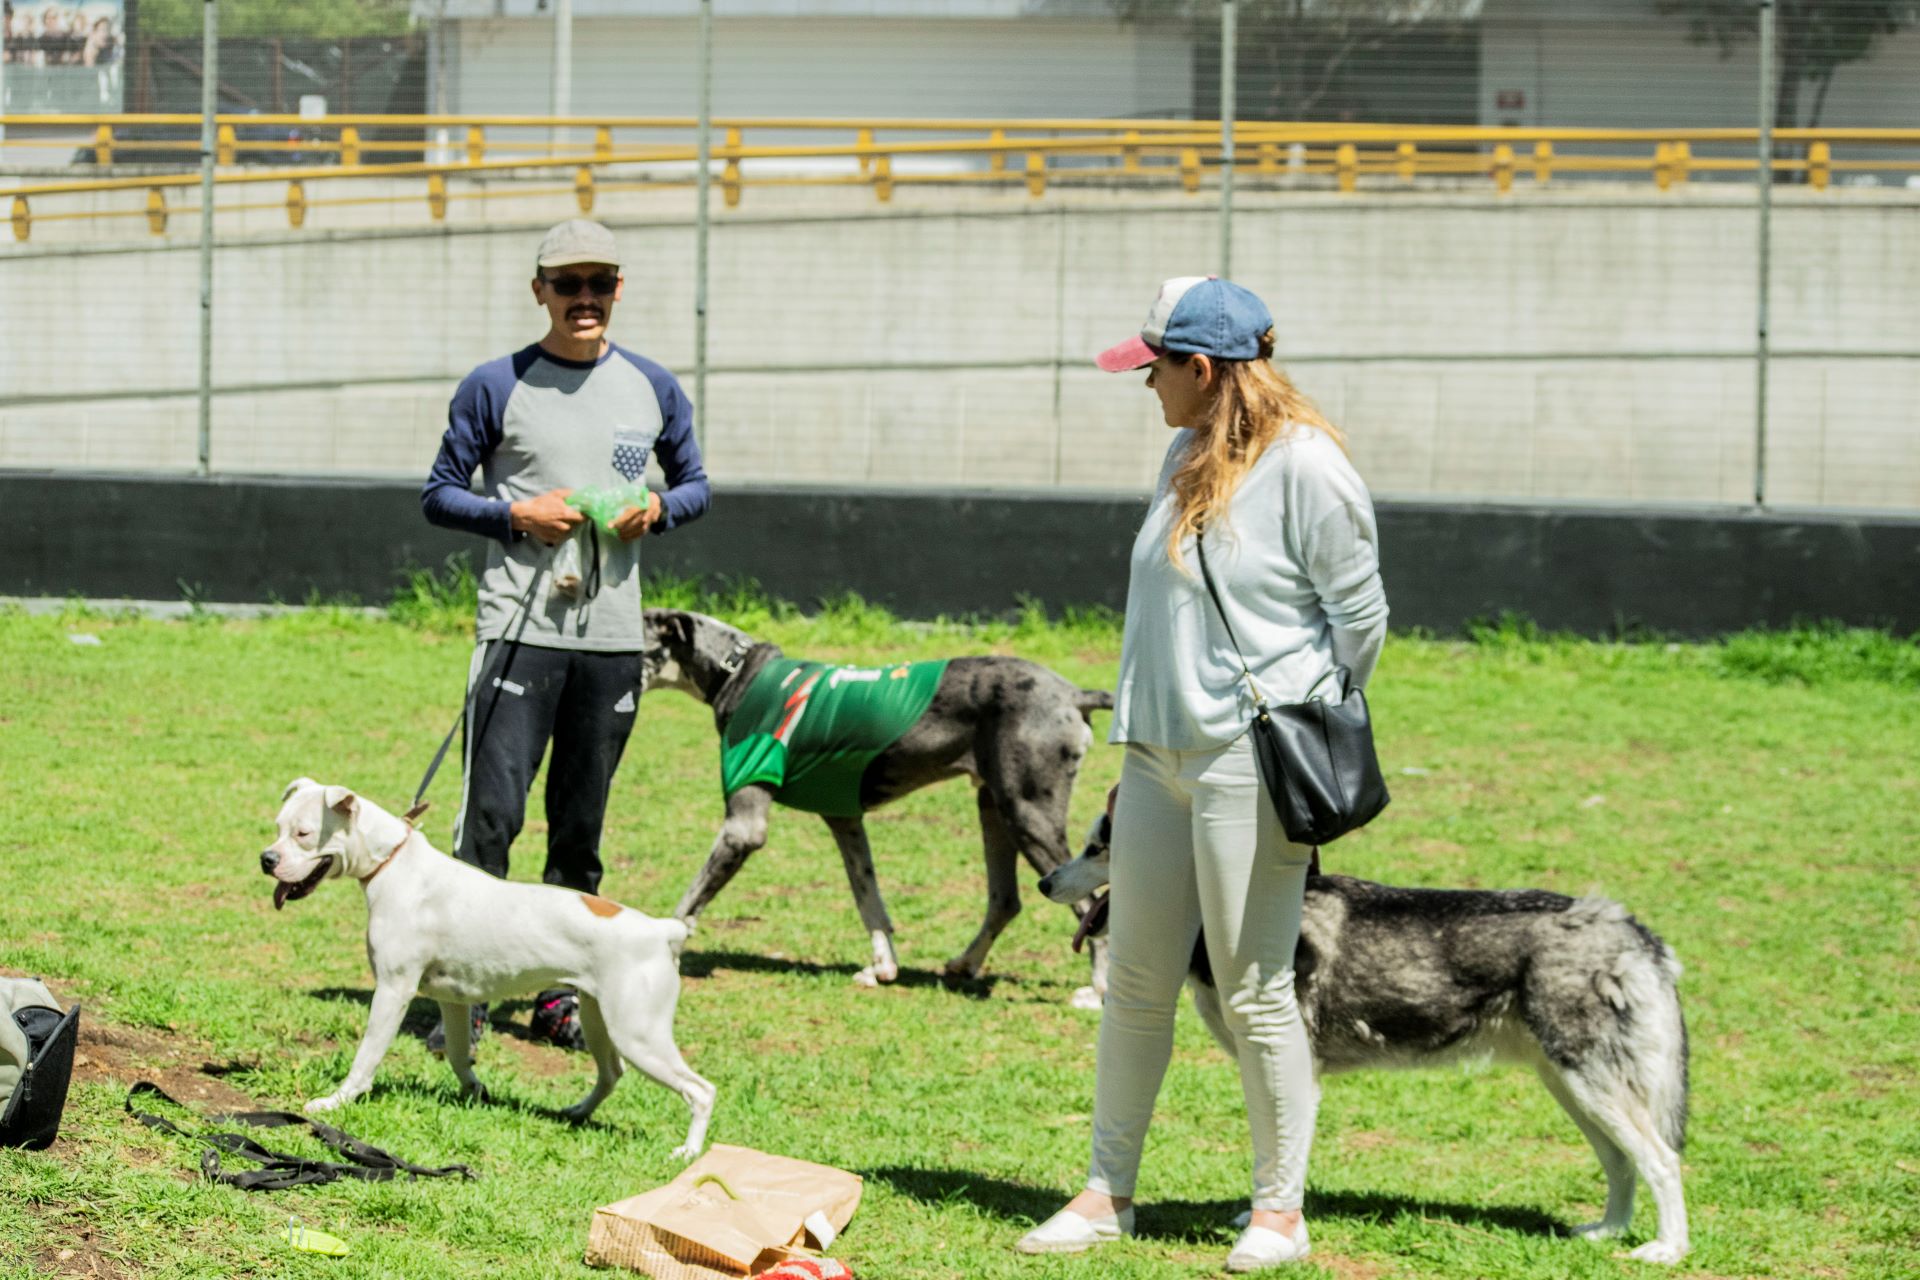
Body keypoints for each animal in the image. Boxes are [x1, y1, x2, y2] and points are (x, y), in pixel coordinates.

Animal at [261, 775, 714, 1159]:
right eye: (278, 827)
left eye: (303, 833)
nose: (266, 858)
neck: (392, 861)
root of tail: (661, 930)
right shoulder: (452, 1001)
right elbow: (459, 1054)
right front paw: (475, 1091)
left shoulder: (393, 990)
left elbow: (366, 1056)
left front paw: (336, 1101)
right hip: (600, 1019)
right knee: (611, 1073)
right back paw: (575, 1113)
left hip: (638, 1034)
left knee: (700, 1090)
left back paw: (688, 1153)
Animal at [641, 610, 1113, 990]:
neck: (737, 671)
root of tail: (1073, 693)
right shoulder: (845, 818)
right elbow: (868, 897)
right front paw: (883, 966)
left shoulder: (743, 829)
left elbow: (686, 905)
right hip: (995, 810)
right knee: (1006, 901)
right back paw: (964, 964)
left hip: (1028, 815)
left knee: (1089, 907)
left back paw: (1098, 990)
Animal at [1044, 817, 1689, 1266]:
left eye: (1098, 848)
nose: (1045, 880)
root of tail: (1629, 927)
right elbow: (1278, 1152)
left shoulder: (1294, 1069)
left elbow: (1284, 1151)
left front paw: (1274, 1230)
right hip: (1572, 1088)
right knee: (1621, 1161)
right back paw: (1606, 1231)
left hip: (1591, 1082)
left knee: (1661, 1160)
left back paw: (1666, 1251)